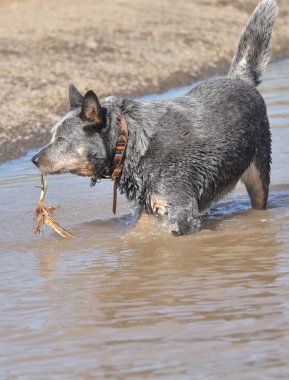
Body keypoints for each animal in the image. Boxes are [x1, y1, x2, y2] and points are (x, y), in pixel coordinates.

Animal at [31, 0, 276, 236]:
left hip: (259, 175)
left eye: (61, 139)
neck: (130, 143)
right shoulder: (147, 212)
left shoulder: (184, 214)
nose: (34, 159)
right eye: (51, 136)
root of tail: (240, 80)